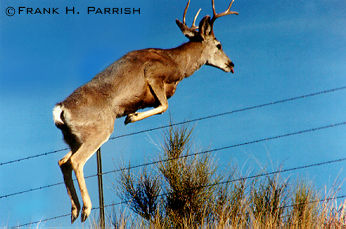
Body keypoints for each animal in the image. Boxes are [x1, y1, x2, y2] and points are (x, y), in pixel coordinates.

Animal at [52, 0, 239, 223]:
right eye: (219, 45)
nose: (231, 64)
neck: (178, 63)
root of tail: (61, 109)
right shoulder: (154, 74)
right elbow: (164, 106)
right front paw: (131, 117)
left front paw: (131, 115)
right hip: (99, 130)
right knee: (75, 161)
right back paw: (86, 209)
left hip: (75, 138)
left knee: (63, 161)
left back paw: (74, 210)